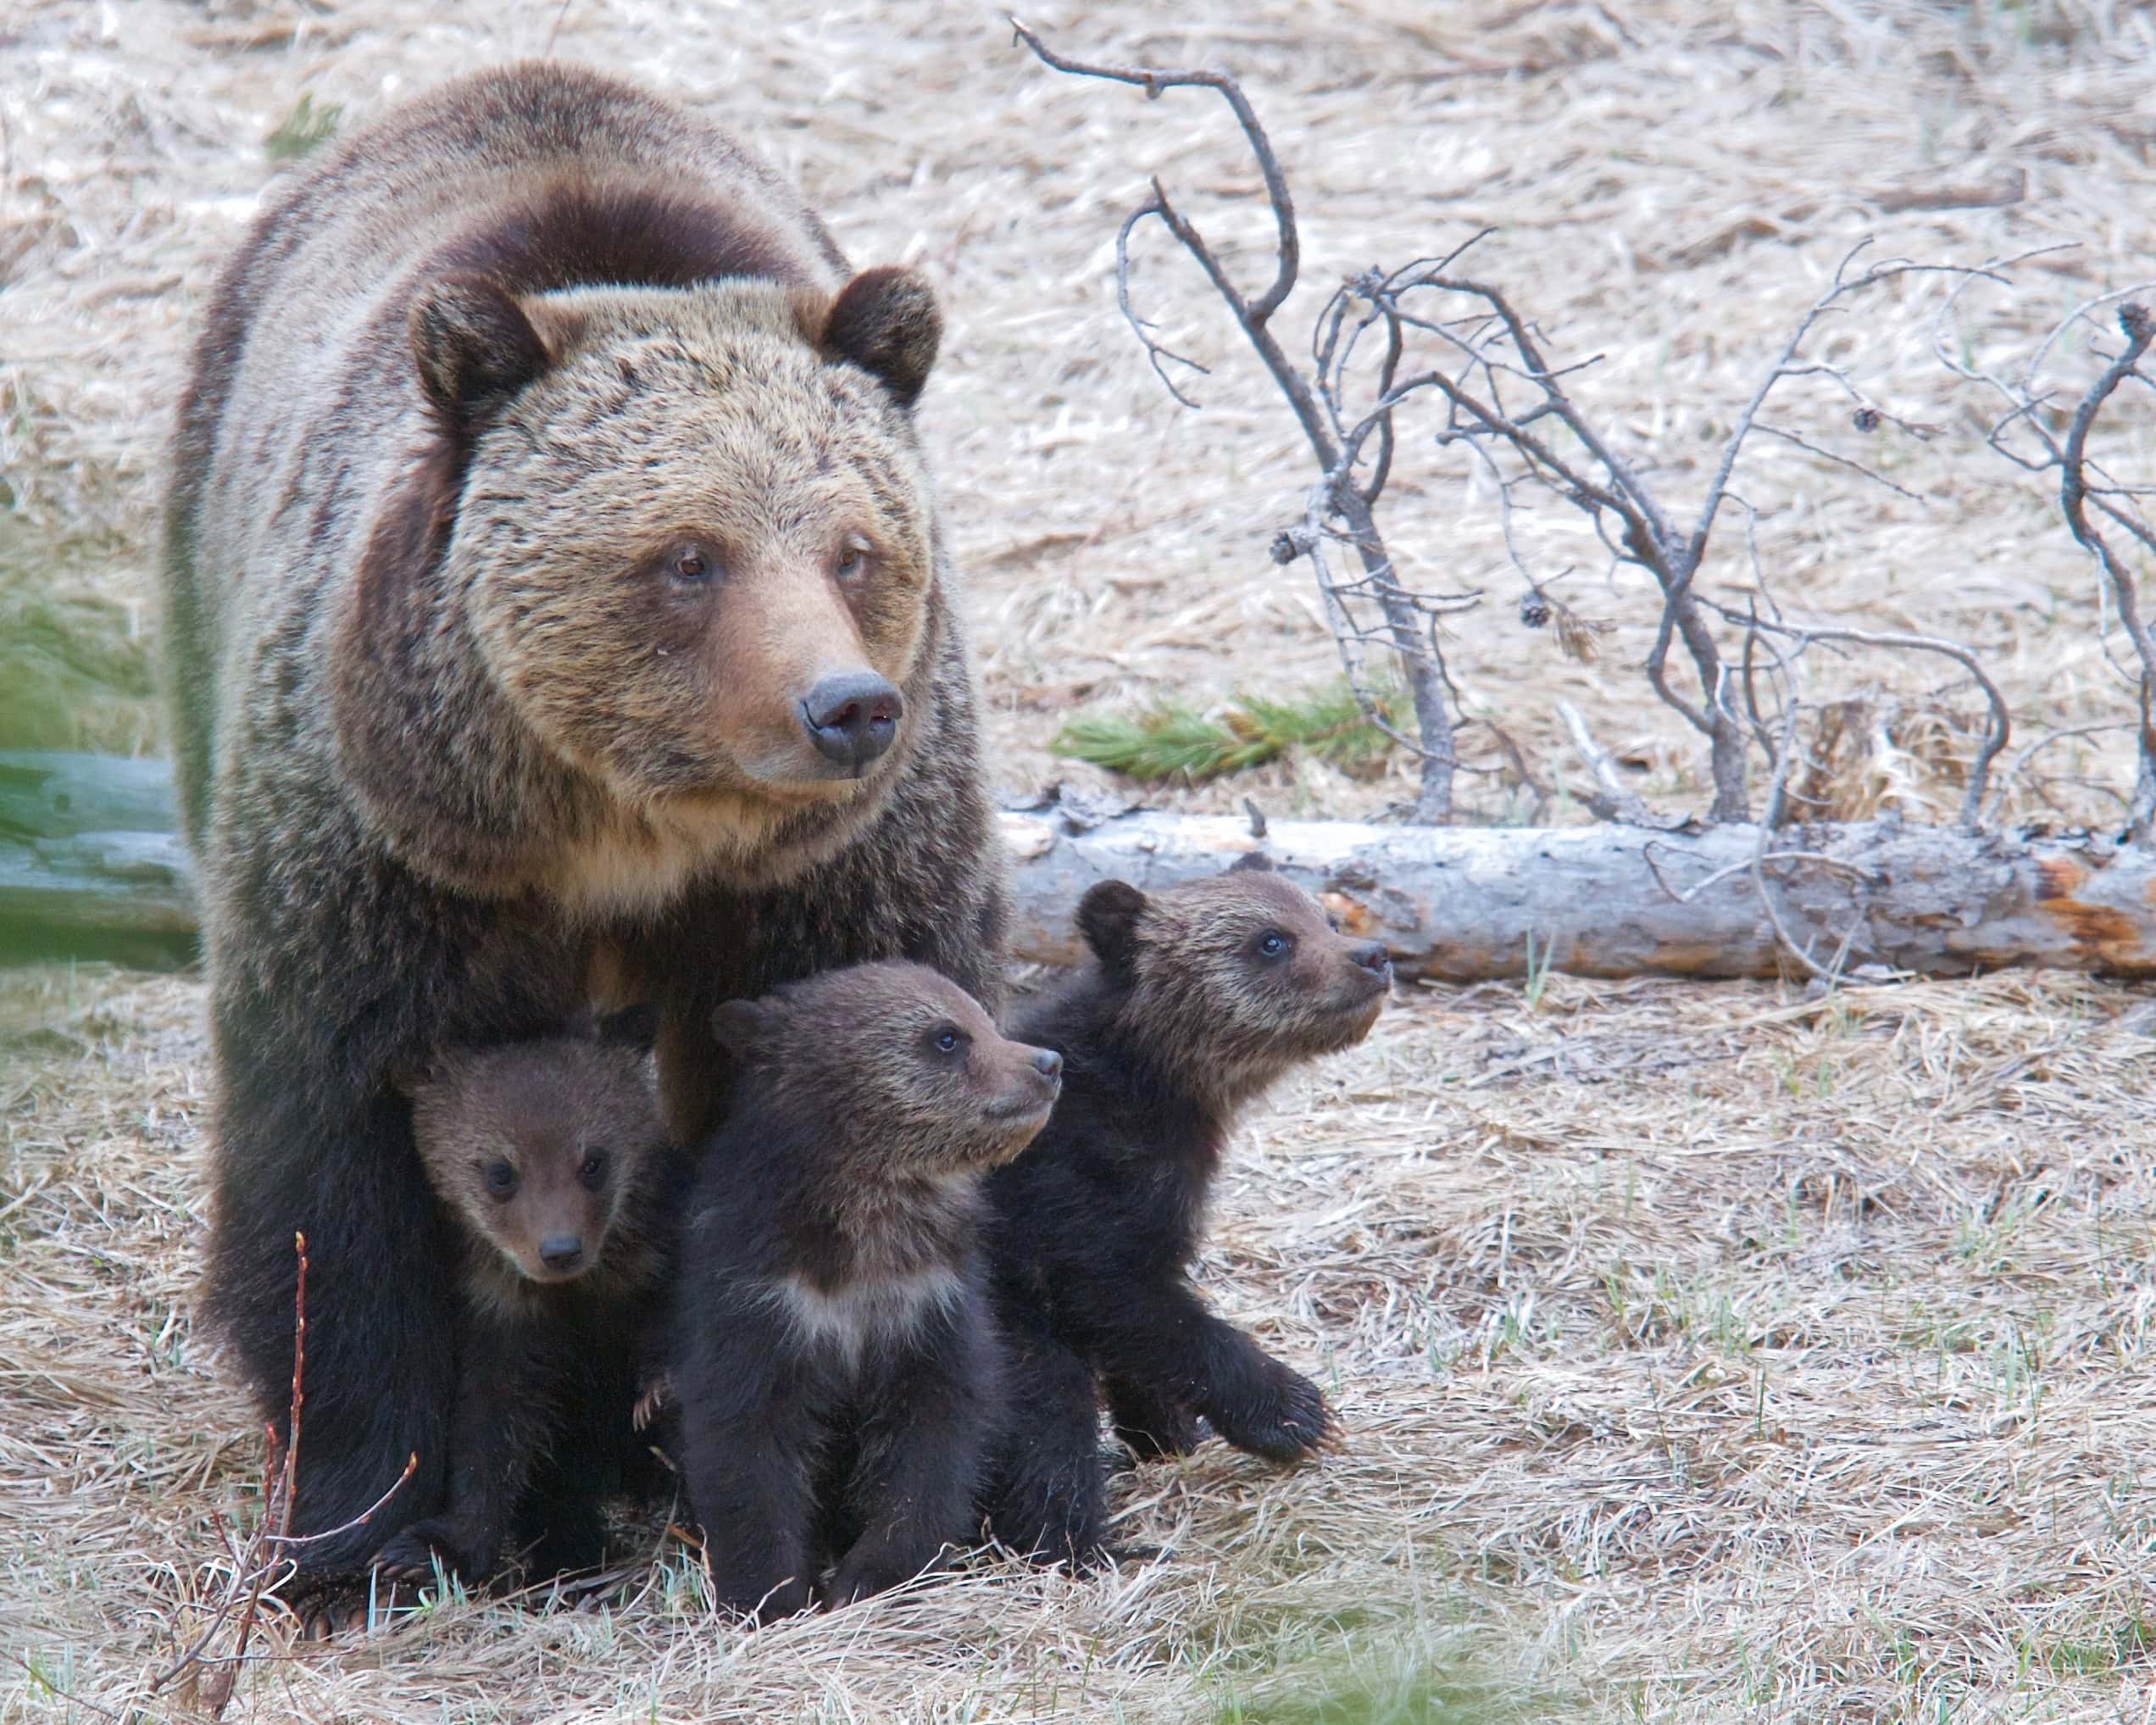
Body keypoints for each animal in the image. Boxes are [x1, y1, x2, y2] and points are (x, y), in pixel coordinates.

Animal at [369, 1009, 672, 1587]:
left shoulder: (651, 1270)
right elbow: (489, 1430)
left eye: (593, 1160)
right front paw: (428, 1550)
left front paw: (656, 1394)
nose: (560, 1250)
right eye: (500, 1171)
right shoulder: (500, 1309)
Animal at [664, 961, 1052, 1621]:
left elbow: (937, 1438)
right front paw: (773, 1593)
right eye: (946, 1037)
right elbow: (745, 1441)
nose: (1047, 1063)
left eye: (983, 1016)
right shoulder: (760, 1302)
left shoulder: (934, 1301)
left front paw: (870, 1576)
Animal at [983, 854, 1388, 1569]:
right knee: (1046, 1411)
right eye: (1271, 940)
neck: (1156, 1084)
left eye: (1329, 918)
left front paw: (1170, 1429)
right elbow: (1128, 1304)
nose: (1373, 955)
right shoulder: (1065, 1195)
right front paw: (1292, 1410)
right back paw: (1087, 1544)